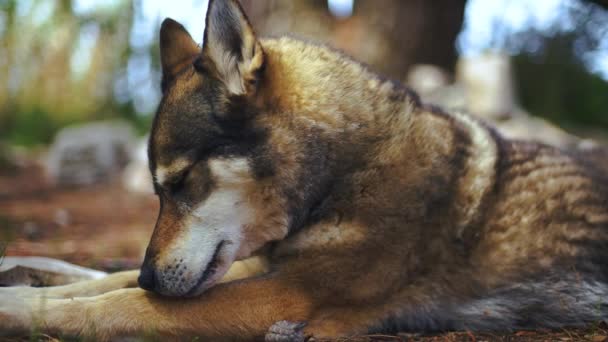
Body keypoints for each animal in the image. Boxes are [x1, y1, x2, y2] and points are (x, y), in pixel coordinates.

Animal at [1, 1, 608, 340]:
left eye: (182, 183)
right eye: (157, 192)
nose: (155, 275)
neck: (346, 176)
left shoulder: (284, 296)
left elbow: (120, 302)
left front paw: (20, 308)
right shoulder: (259, 268)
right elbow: (111, 282)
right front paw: (31, 288)